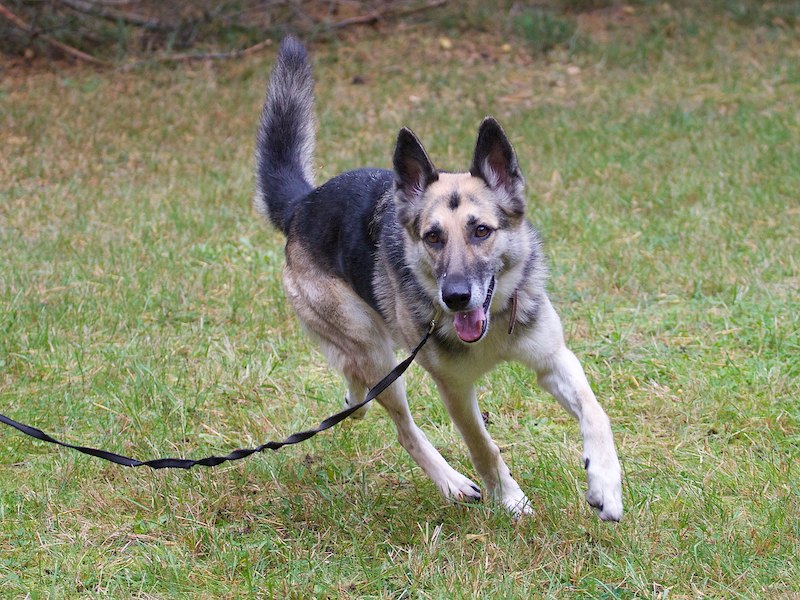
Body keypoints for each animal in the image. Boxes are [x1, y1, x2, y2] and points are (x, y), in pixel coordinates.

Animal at [254, 36, 622, 520]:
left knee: (357, 390)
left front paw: (606, 485)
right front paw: (511, 499)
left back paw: (354, 400)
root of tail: (302, 205)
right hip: (376, 352)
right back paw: (450, 481)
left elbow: (597, 414)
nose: (456, 298)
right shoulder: (456, 391)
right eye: (433, 237)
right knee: (402, 427)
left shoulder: (553, 359)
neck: (492, 328)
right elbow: (483, 446)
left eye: (481, 231)